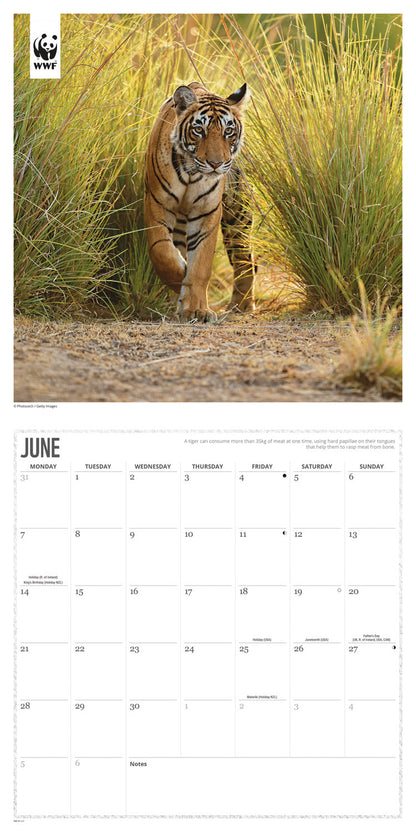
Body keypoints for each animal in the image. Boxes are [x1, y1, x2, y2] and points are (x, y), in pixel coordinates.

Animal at [144, 81, 256, 322]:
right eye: (199, 130)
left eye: (228, 131)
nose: (216, 164)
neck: (191, 174)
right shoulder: (158, 203)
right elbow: (163, 253)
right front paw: (181, 283)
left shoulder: (207, 211)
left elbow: (201, 264)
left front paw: (196, 309)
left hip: (238, 216)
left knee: (246, 260)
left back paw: (240, 305)